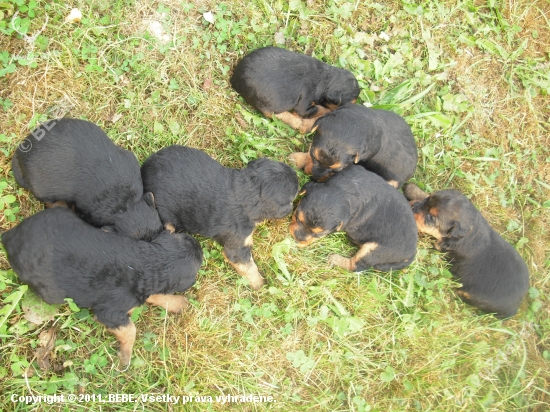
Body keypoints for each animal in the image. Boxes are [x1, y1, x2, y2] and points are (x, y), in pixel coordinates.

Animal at [1, 208, 204, 366]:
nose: (199, 246)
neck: (149, 263)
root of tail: (9, 237)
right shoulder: (110, 313)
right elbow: (130, 329)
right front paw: (125, 357)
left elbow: (154, 295)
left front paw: (178, 303)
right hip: (50, 292)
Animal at [140, 145, 300, 290]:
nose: (297, 173)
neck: (247, 192)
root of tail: (143, 169)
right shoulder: (238, 245)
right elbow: (249, 267)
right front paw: (260, 285)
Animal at [230, 47, 362, 134]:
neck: (327, 79)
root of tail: (235, 78)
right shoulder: (305, 102)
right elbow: (318, 108)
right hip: (266, 101)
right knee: (275, 114)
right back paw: (298, 123)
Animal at [408, 184, 532, 318]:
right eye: (428, 199)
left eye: (431, 218)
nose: (412, 206)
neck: (469, 231)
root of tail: (516, 307)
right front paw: (412, 189)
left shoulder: (440, 246)